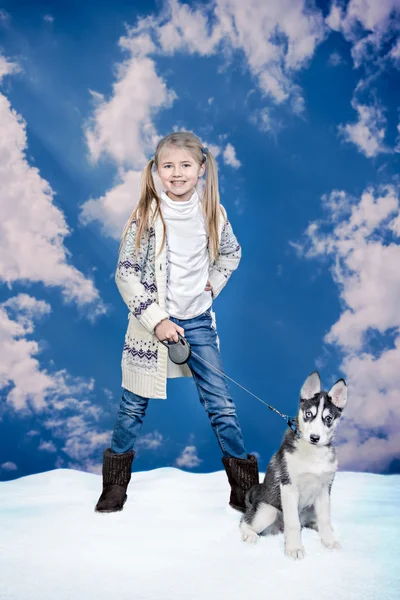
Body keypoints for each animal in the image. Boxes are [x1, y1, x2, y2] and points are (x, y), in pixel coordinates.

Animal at [241, 372, 346, 560]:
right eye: (309, 414)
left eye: (328, 418)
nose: (314, 438)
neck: (313, 453)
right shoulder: (288, 486)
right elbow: (293, 523)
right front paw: (294, 548)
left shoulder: (324, 489)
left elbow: (325, 519)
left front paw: (329, 541)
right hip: (268, 511)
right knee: (244, 521)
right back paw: (249, 534)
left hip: (310, 507)